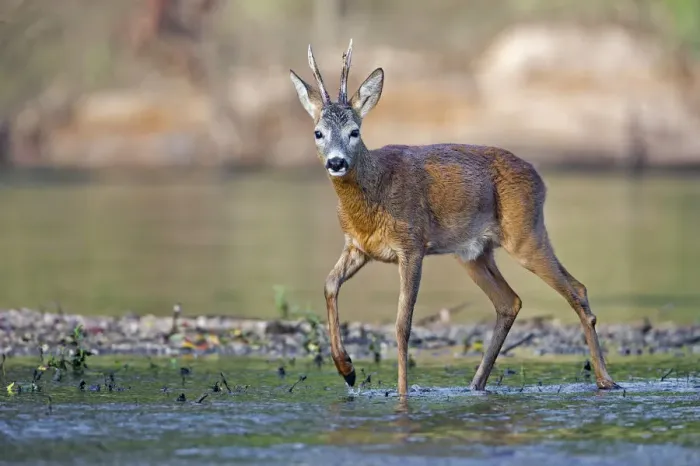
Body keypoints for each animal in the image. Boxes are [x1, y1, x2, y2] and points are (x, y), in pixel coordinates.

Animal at [289, 40, 620, 397]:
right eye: (318, 133)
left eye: (354, 131)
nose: (336, 162)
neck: (372, 194)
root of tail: (539, 177)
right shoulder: (357, 247)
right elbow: (329, 284)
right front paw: (347, 369)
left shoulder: (412, 245)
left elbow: (402, 324)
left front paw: (402, 393)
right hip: (473, 253)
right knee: (510, 302)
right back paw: (476, 385)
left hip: (525, 233)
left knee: (576, 289)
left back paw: (605, 379)